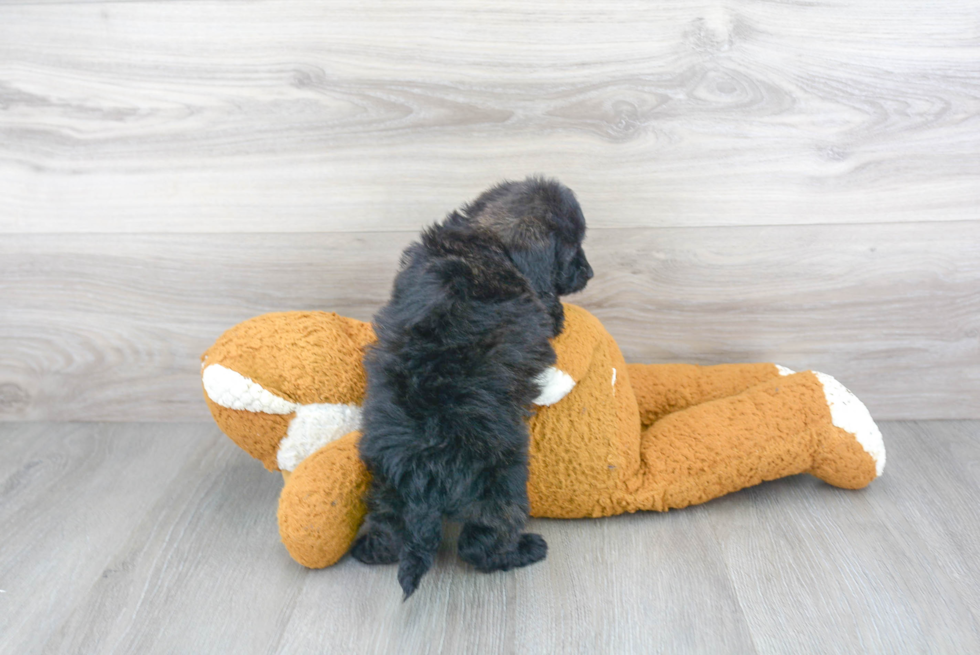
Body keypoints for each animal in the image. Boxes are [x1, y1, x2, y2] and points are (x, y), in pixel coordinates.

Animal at [356, 176, 592, 600]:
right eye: (572, 250)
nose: (590, 272)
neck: (486, 238)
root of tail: (424, 473)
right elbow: (551, 310)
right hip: (504, 481)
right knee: (480, 543)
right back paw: (525, 550)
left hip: (385, 482)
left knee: (388, 530)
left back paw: (368, 548)